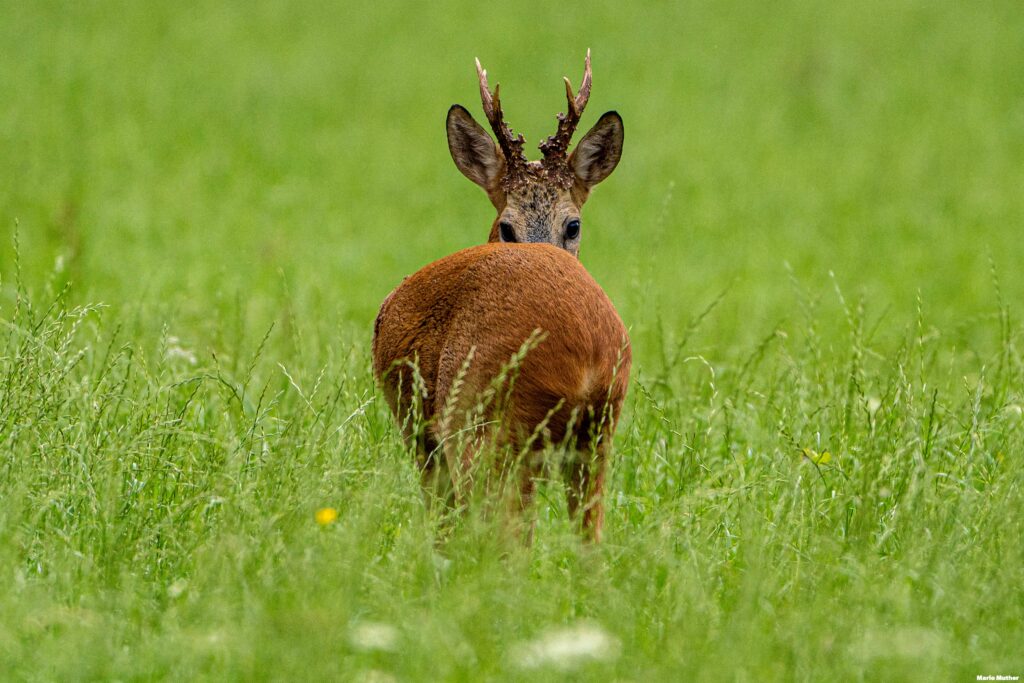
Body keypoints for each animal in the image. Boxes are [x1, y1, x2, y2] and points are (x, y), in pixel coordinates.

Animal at [372, 52, 626, 544]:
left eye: (573, 225)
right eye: (507, 227)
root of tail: (587, 354)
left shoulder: (420, 427)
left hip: (490, 424)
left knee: (507, 536)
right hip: (597, 434)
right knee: (590, 537)